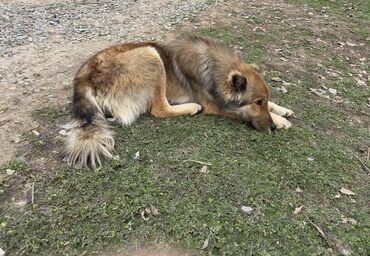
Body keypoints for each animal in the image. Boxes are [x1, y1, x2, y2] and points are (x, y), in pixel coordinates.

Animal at [65, 35, 294, 169]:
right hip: (150, 54)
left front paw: (282, 110)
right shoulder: (215, 104)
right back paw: (191, 107)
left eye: (263, 100)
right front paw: (280, 121)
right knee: (159, 109)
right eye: (257, 102)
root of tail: (84, 76)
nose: (272, 127)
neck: (216, 67)